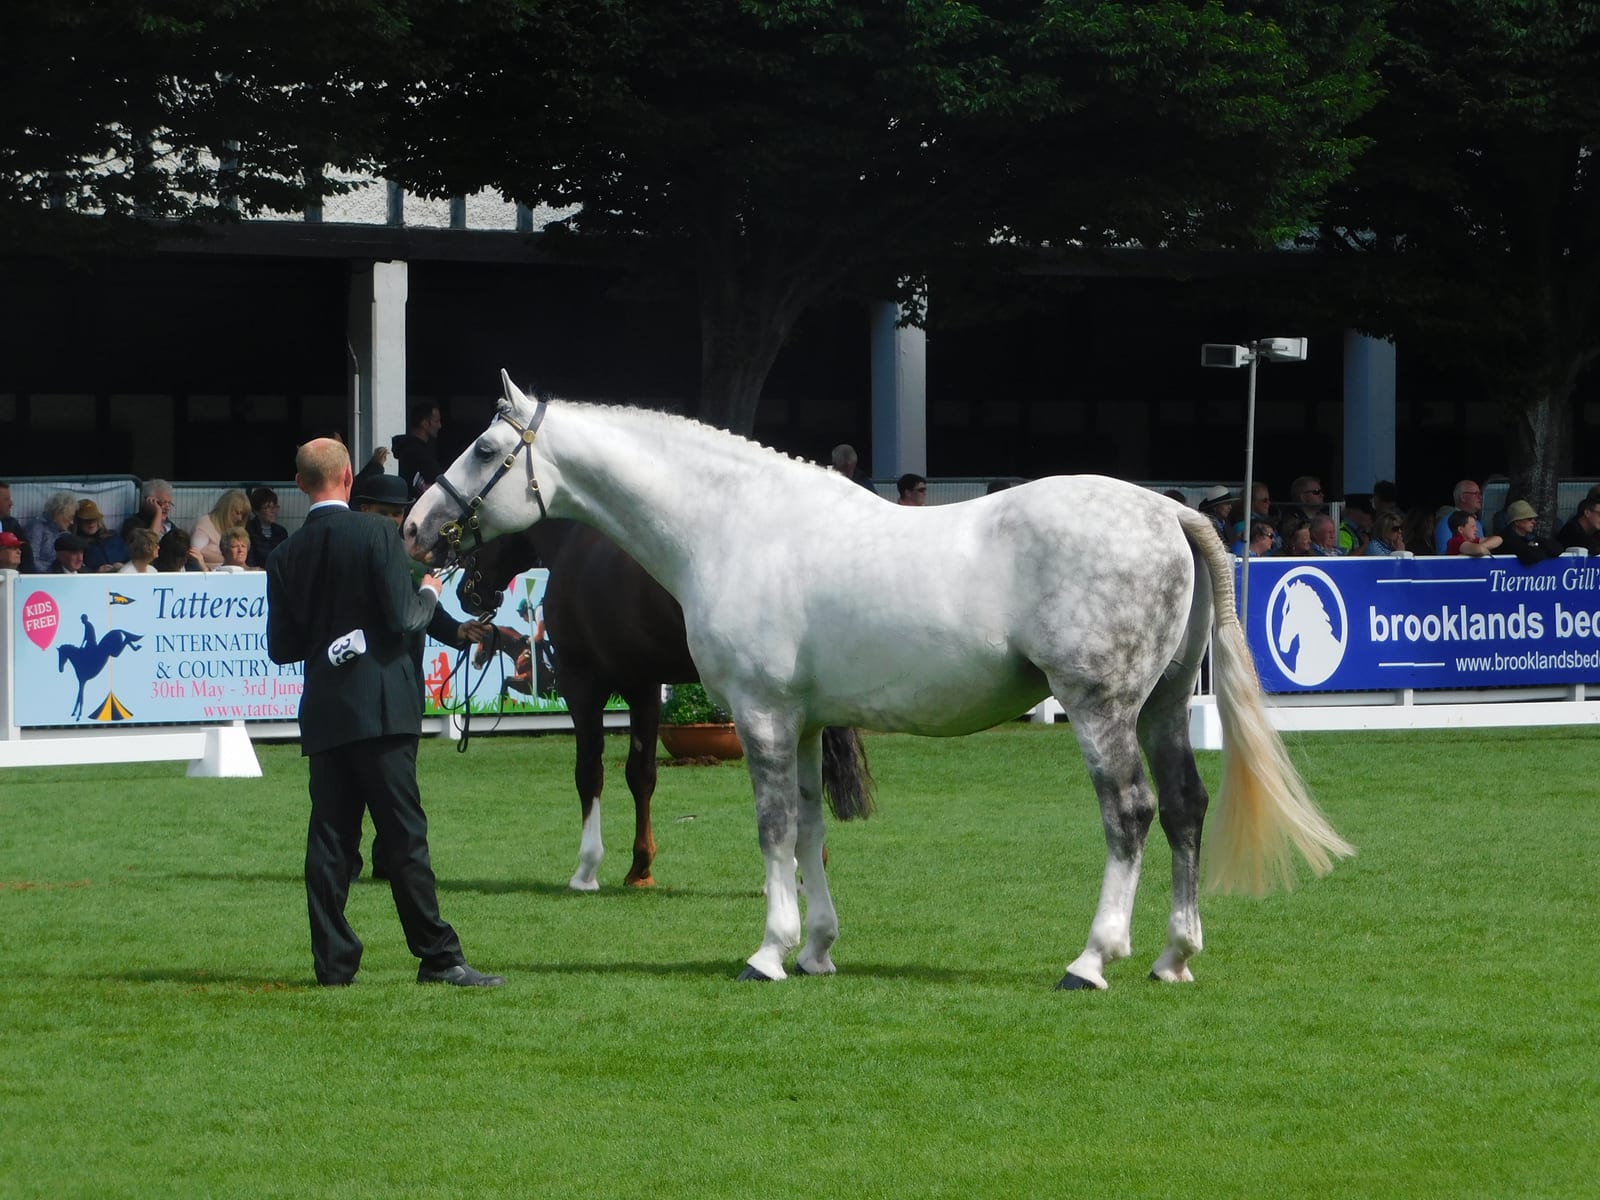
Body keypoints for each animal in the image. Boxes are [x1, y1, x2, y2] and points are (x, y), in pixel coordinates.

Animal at [454, 520, 871, 890]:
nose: (465, 591)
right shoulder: (643, 685)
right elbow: (641, 774)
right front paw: (640, 869)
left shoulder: (581, 682)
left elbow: (589, 771)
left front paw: (587, 869)